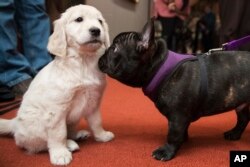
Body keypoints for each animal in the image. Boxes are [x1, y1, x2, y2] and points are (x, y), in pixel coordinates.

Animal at [0, 4, 114, 166]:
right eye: (79, 19)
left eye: (100, 21)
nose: (96, 30)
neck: (83, 62)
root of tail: (14, 124)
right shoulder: (56, 110)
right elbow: (58, 134)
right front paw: (60, 154)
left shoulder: (94, 101)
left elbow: (97, 121)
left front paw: (102, 136)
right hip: (35, 126)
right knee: (39, 144)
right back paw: (69, 144)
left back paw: (78, 135)